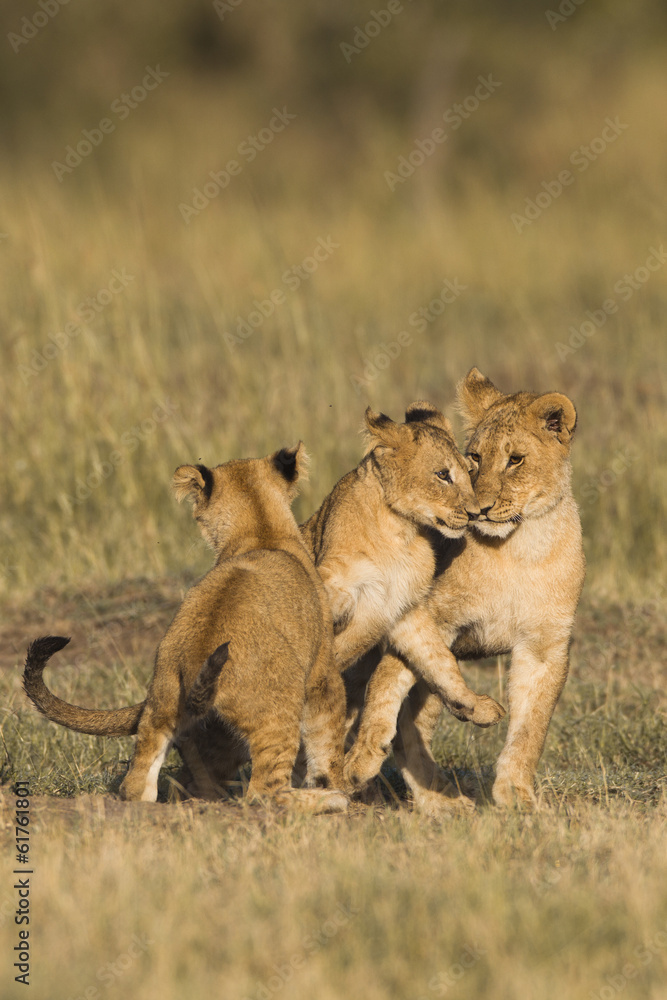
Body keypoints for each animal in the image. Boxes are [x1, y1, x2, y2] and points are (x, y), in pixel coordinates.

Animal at [23, 445, 348, 811]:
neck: (260, 531)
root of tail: (197, 655)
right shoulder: (323, 672)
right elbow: (328, 738)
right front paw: (339, 785)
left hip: (161, 704)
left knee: (138, 782)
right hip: (277, 711)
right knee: (264, 793)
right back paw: (329, 800)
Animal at [344, 369, 585, 811]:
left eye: (515, 459)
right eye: (473, 458)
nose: (482, 509)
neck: (519, 550)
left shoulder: (544, 646)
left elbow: (531, 727)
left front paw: (516, 795)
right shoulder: (431, 619)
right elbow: (386, 684)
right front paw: (363, 758)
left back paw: (437, 801)